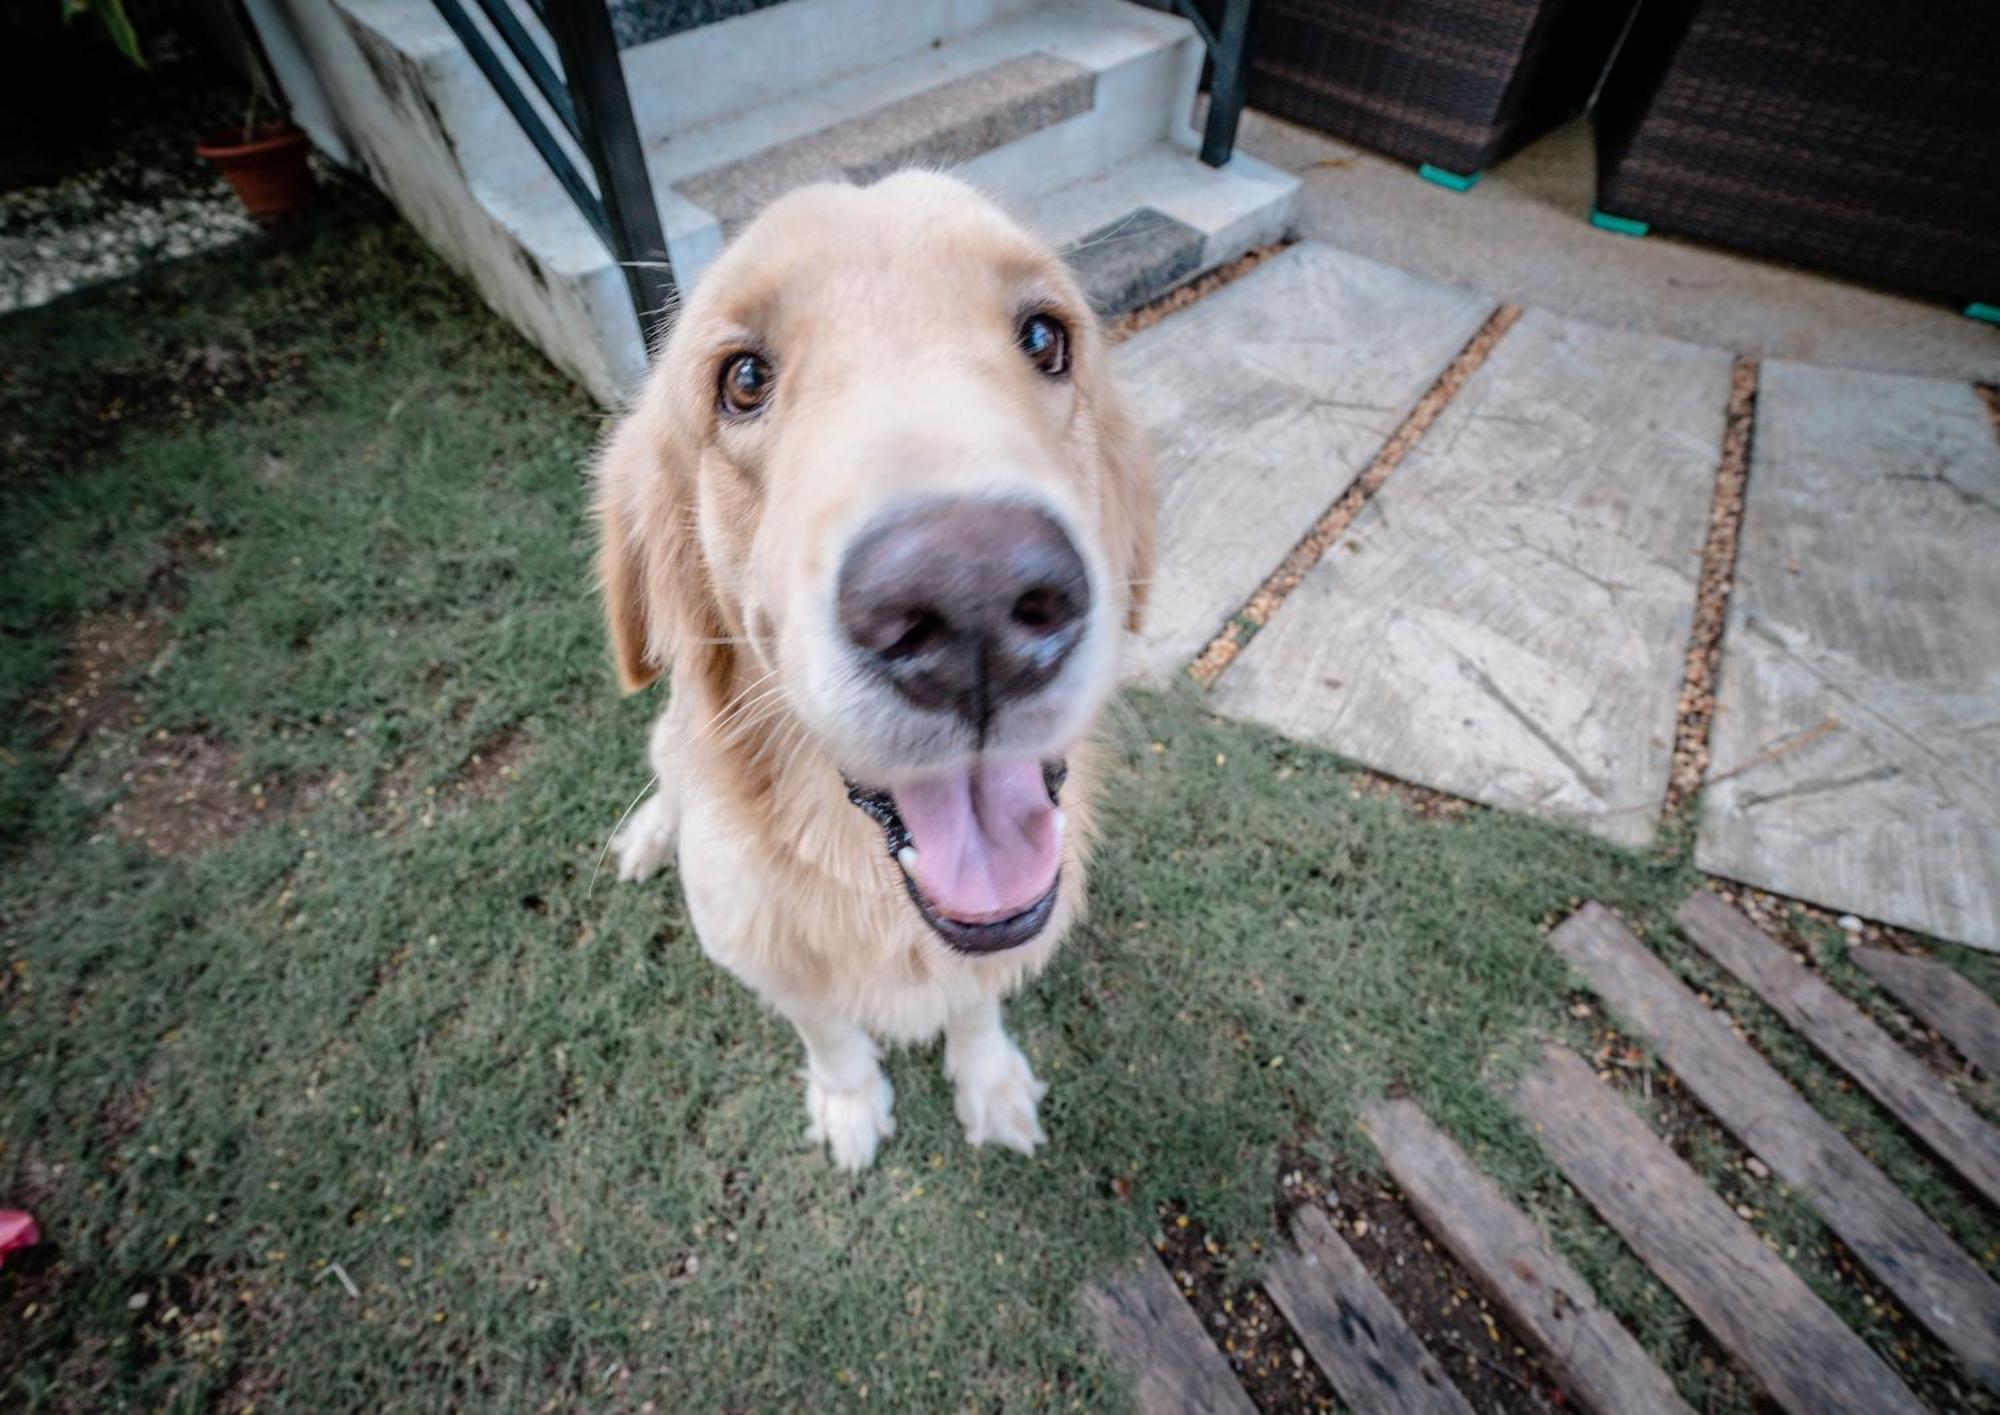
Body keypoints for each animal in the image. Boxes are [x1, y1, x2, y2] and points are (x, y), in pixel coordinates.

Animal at [592, 173, 1160, 1175]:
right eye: (743, 379)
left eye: (1044, 338)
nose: (974, 598)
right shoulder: (764, 954)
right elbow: (826, 1026)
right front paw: (850, 1100)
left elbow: (975, 999)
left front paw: (989, 1081)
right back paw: (650, 834)